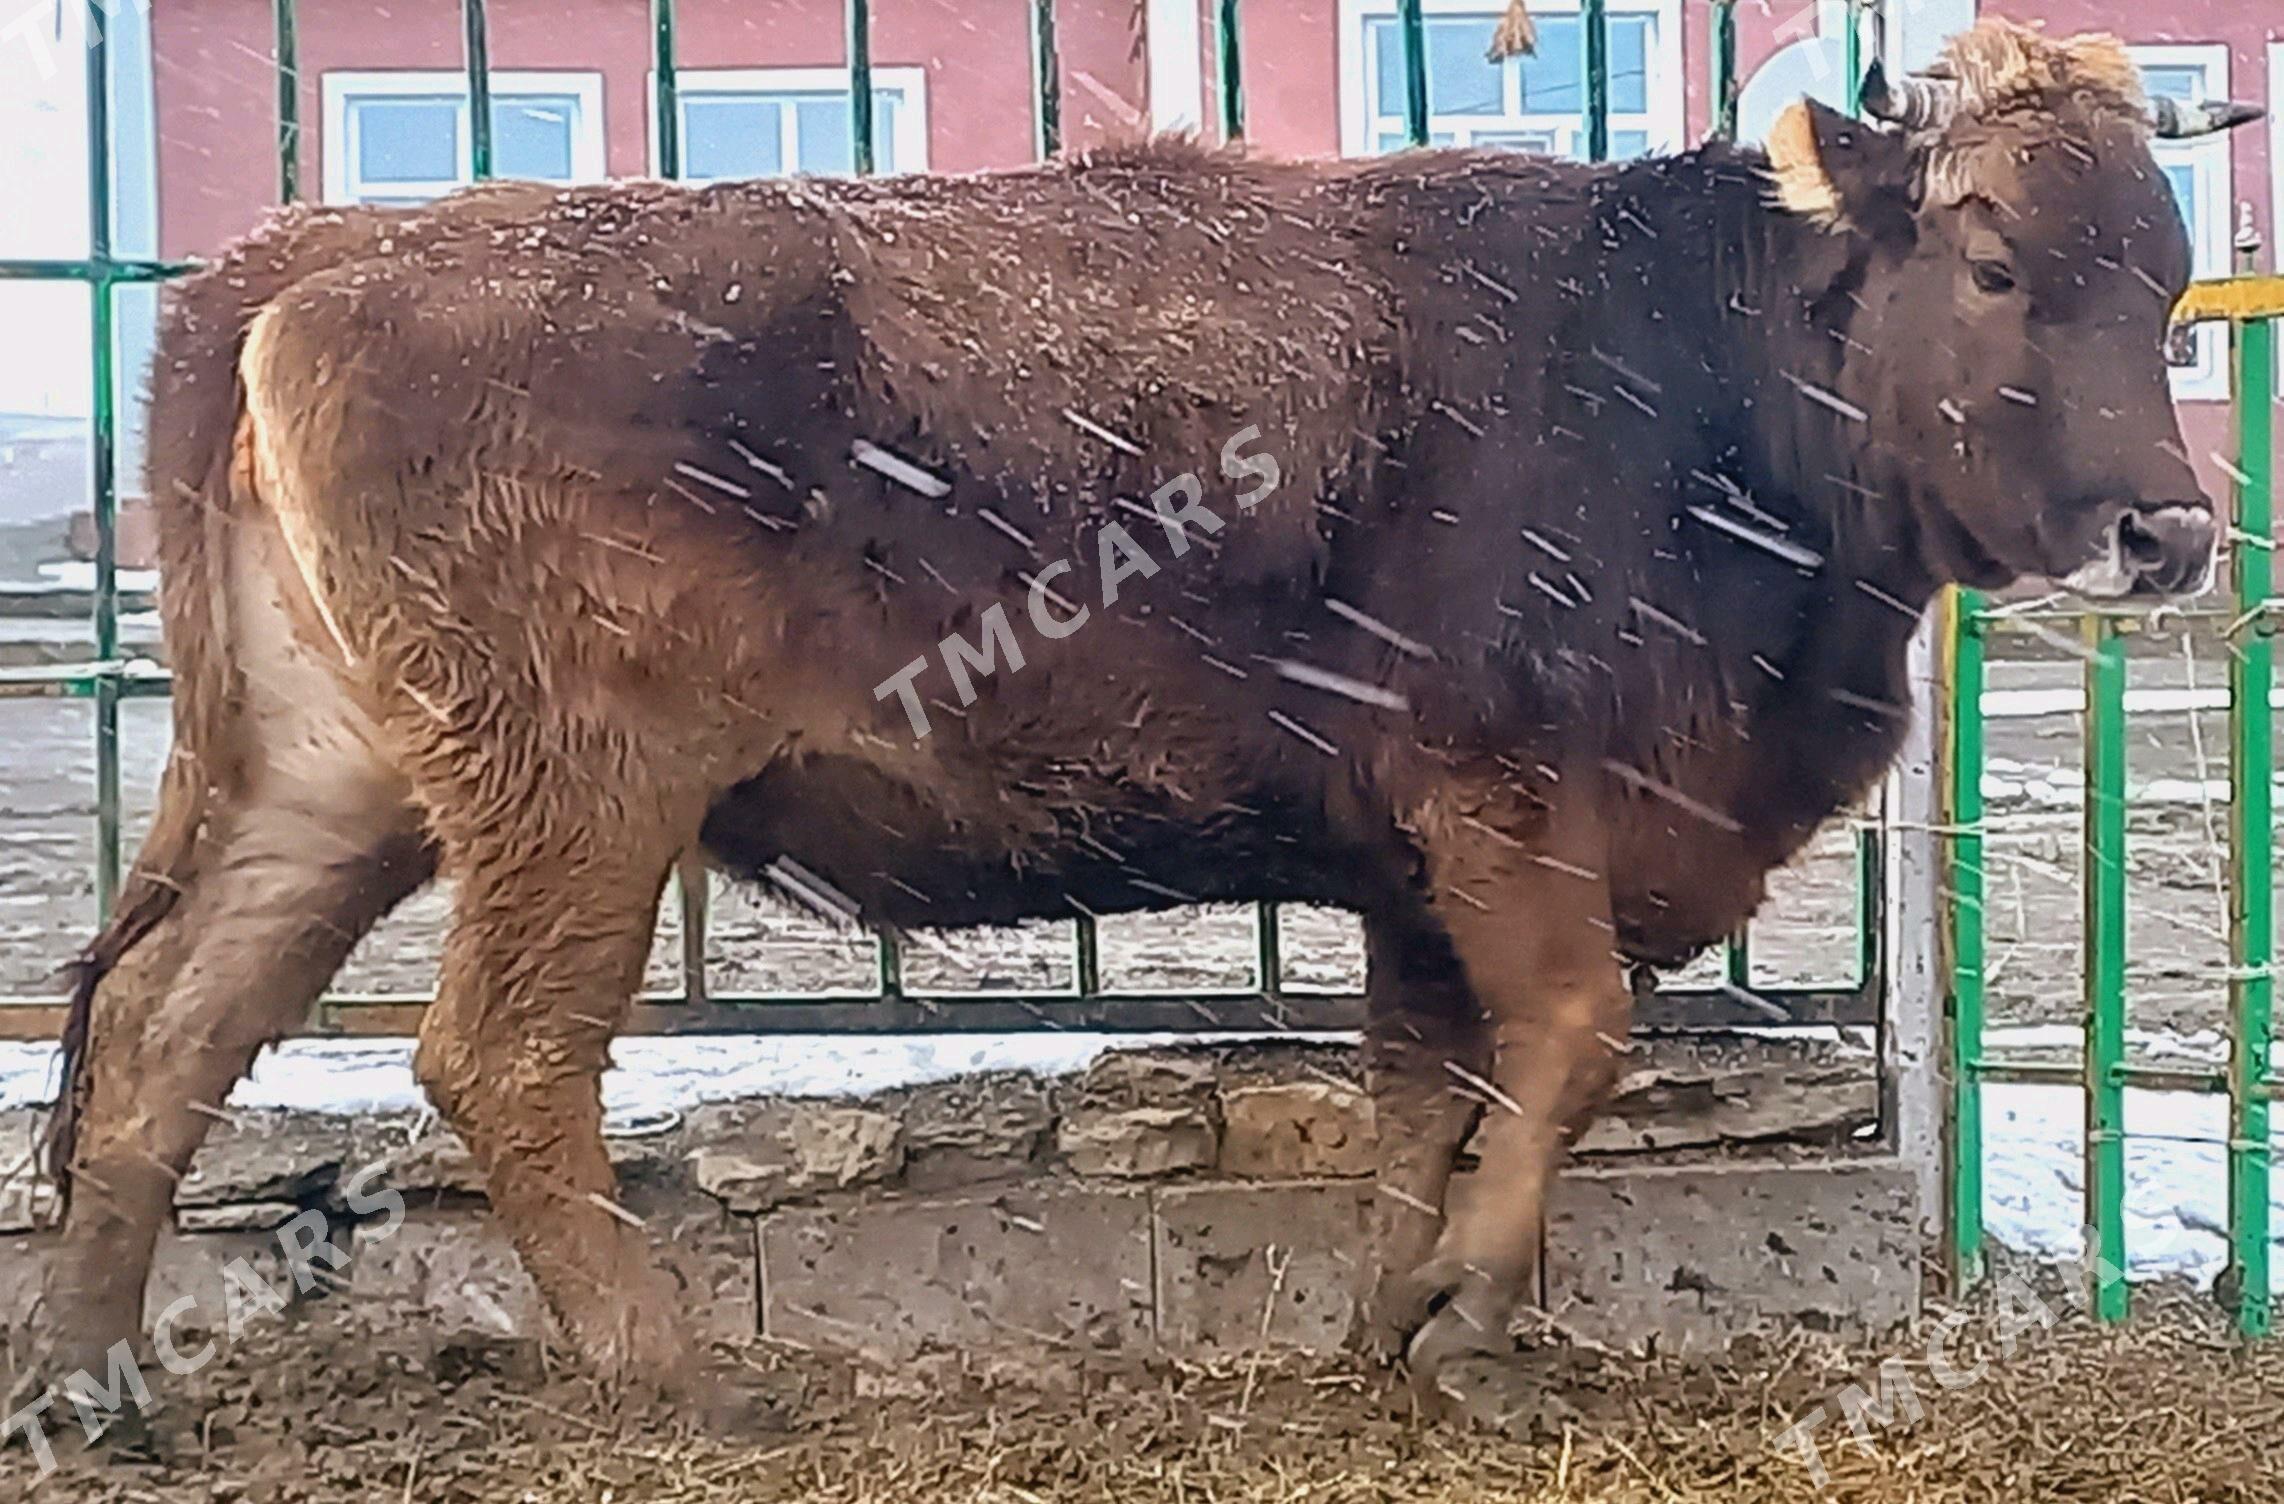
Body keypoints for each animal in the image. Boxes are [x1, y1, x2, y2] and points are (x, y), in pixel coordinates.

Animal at [22, 20, 2265, 1417]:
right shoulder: (1502, 809)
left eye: (2164, 270)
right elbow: (1568, 1038)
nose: (2162, 527)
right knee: (496, 1057)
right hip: (577, 803)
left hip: (335, 791)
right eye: (1991, 253)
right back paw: (681, 1373)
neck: (1683, 361)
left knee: (167, 1032)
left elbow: (1422, 1092)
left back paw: (98, 1380)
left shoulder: (1405, 873)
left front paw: (1400, 1310)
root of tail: (317, 247)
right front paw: (1468, 1315)